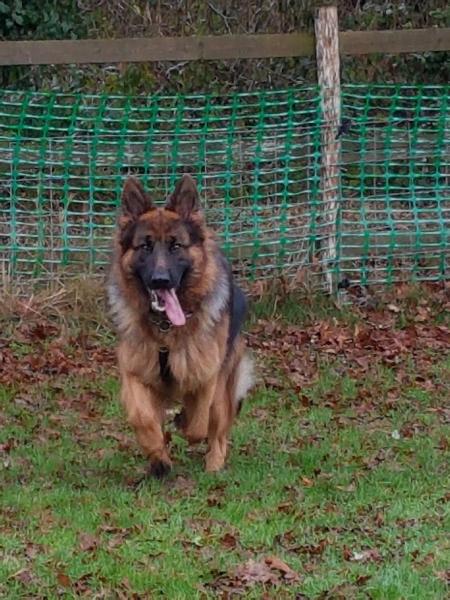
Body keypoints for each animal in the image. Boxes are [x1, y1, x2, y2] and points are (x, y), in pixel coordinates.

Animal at [106, 175, 253, 478]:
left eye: (176, 246)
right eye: (145, 246)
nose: (161, 280)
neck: (166, 330)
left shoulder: (206, 376)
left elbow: (198, 424)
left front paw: (184, 427)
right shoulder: (134, 373)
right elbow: (142, 418)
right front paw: (157, 455)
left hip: (222, 386)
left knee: (218, 431)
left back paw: (214, 465)